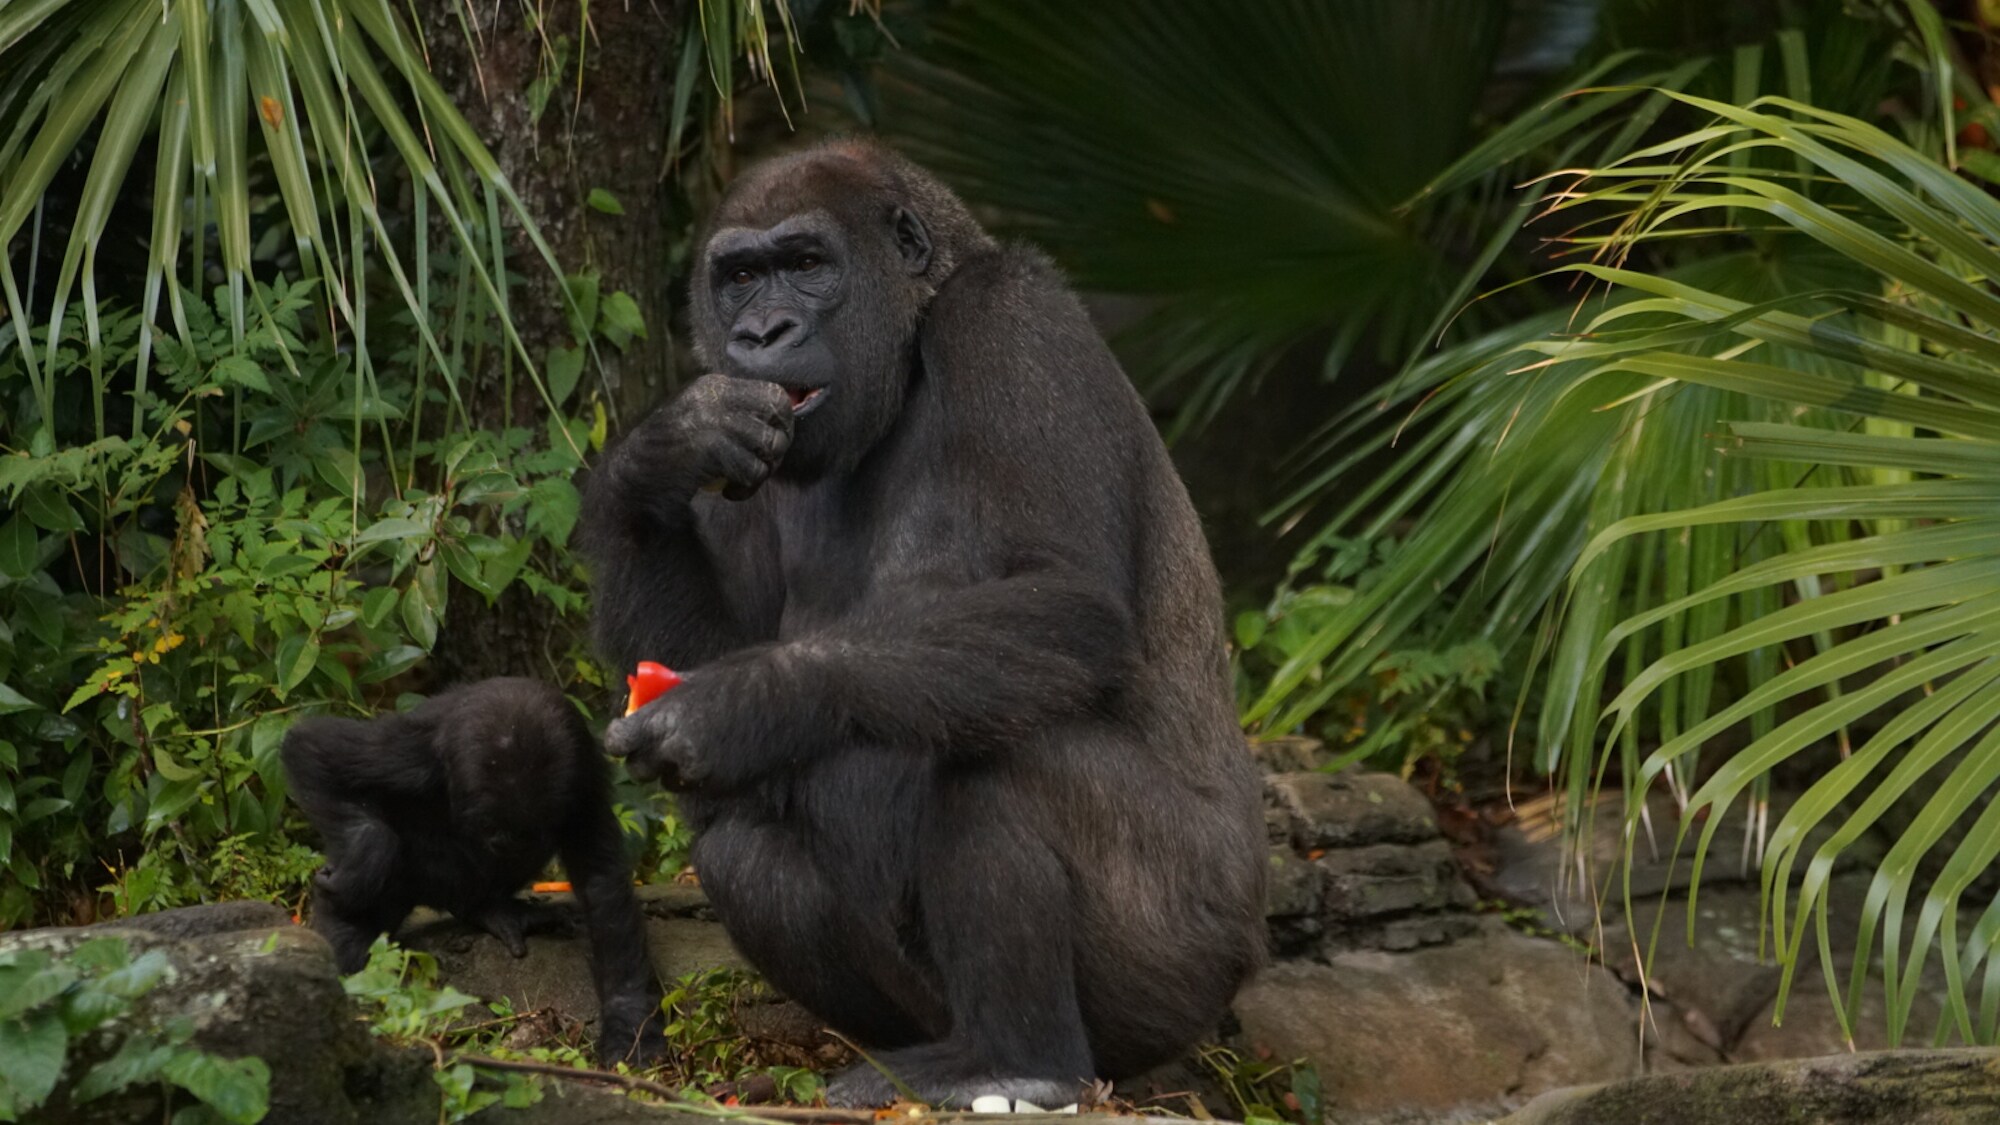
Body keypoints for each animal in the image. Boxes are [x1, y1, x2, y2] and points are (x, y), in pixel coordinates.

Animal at [280, 672, 664, 1056]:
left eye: (531, 827)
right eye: (489, 827)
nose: (505, 844)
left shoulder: (582, 777)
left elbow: (601, 883)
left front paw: (628, 1017)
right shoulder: (410, 754)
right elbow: (314, 750)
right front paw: (364, 861)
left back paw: (491, 908)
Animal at [584, 140, 1264, 1104]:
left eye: (807, 263)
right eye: (740, 278)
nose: (761, 335)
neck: (907, 357)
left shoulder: (1010, 320)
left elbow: (1065, 597)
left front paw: (754, 698)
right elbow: (696, 646)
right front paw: (656, 460)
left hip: (1193, 953)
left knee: (1000, 755)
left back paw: (1022, 1059)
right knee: (743, 846)